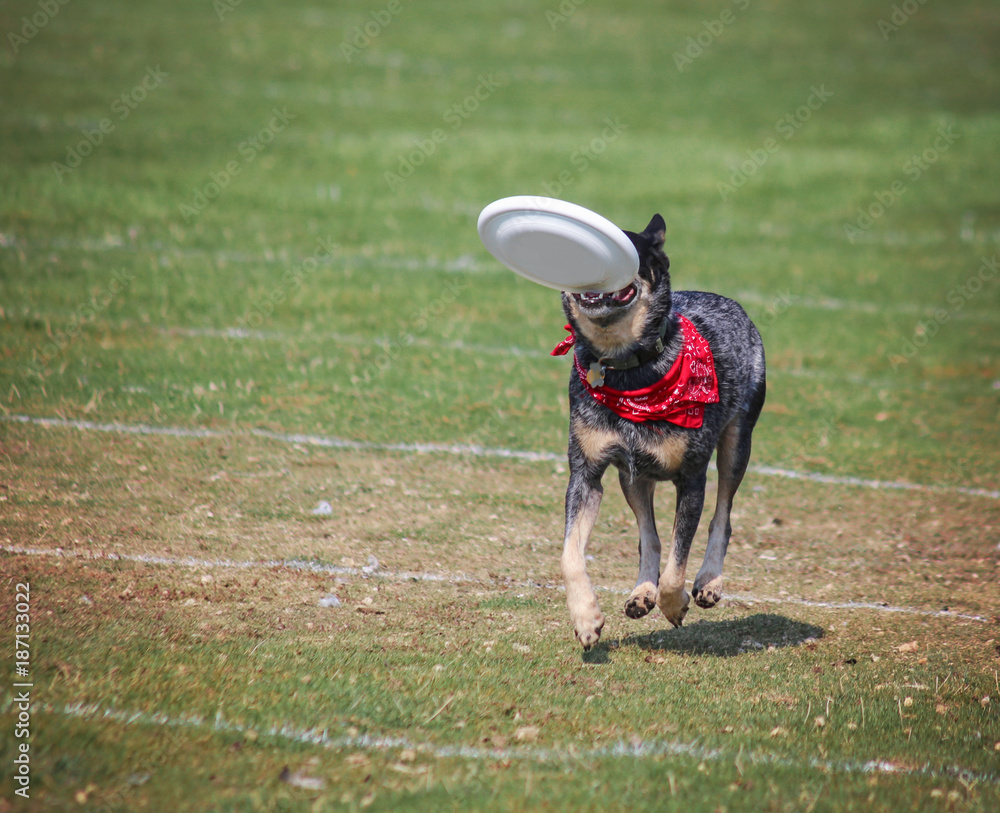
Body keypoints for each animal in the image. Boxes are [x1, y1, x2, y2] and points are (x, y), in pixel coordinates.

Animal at [556, 213, 764, 652]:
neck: (625, 367)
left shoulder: (692, 477)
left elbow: (677, 563)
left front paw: (675, 603)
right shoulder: (586, 473)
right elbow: (570, 555)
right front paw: (586, 619)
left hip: (738, 441)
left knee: (723, 514)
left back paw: (708, 583)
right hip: (632, 475)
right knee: (648, 536)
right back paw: (641, 594)